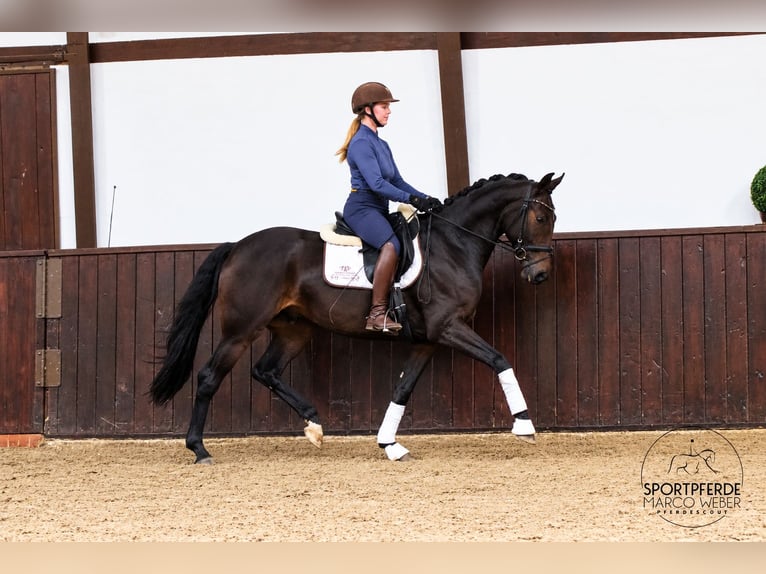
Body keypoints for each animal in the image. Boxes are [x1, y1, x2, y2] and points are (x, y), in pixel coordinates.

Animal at [149, 171, 564, 463]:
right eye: (542, 217)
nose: (541, 274)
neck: (451, 245)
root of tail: (238, 246)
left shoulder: (429, 339)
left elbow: (402, 389)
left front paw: (390, 445)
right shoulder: (448, 327)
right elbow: (499, 359)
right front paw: (524, 424)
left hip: (294, 330)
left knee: (266, 370)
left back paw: (314, 424)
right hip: (242, 330)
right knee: (209, 377)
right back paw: (199, 449)